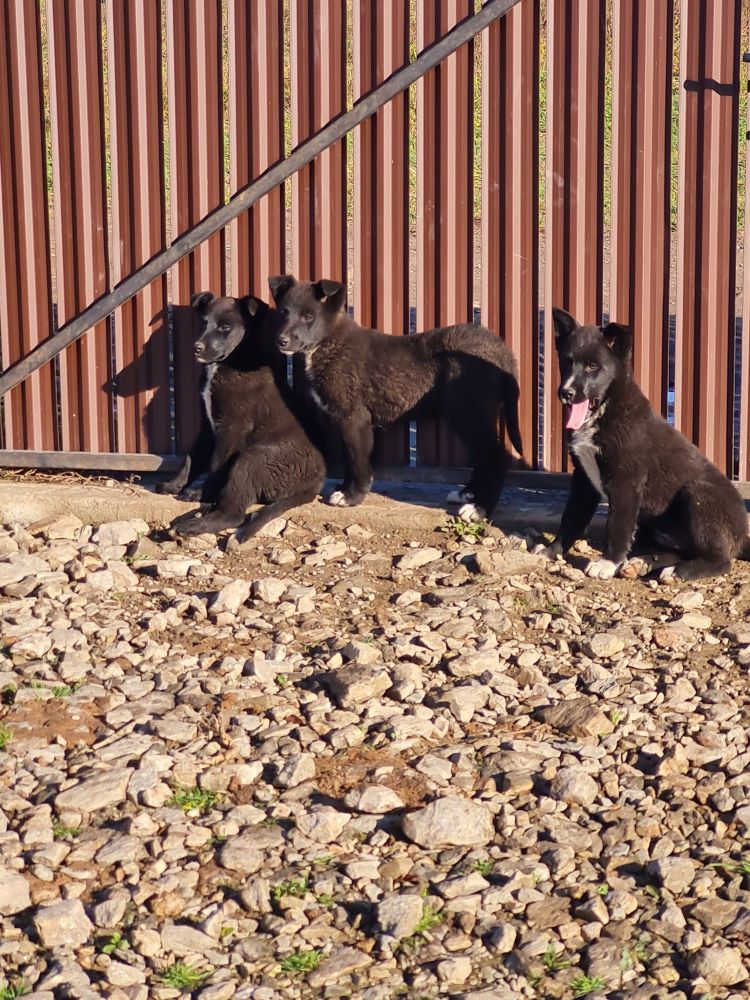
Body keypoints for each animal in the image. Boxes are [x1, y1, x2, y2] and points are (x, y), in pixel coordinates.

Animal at [157, 292, 324, 544]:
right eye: (204, 322)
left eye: (225, 327)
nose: (196, 348)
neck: (227, 363)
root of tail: (317, 482)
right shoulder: (207, 425)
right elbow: (191, 457)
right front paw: (175, 484)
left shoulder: (231, 428)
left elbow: (215, 463)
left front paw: (200, 493)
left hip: (251, 459)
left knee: (233, 514)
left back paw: (191, 526)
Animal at [268, 274, 524, 524]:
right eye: (283, 312)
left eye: (308, 316)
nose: (281, 341)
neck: (329, 341)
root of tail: (502, 349)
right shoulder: (347, 420)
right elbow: (350, 457)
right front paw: (345, 489)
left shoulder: (354, 417)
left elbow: (357, 459)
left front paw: (352, 496)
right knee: (483, 455)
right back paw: (467, 493)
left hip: (468, 411)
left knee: (496, 456)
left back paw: (480, 509)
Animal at [540, 308, 750, 584]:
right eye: (567, 361)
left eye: (593, 366)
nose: (566, 393)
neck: (606, 410)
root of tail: (743, 534)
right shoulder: (583, 480)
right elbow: (570, 519)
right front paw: (551, 550)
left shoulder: (625, 483)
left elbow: (616, 527)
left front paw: (608, 563)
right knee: (678, 550)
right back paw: (642, 563)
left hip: (697, 495)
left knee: (721, 561)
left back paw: (678, 571)